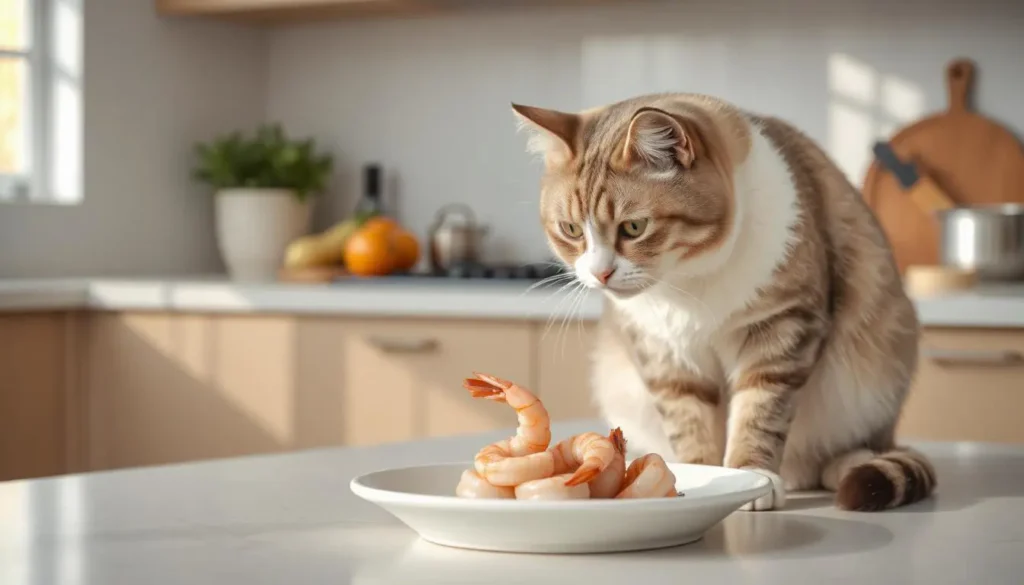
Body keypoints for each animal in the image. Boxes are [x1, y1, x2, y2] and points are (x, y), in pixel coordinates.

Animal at [512, 93, 937, 510]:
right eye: (571, 230)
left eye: (634, 227)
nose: (600, 273)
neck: (687, 283)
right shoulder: (664, 352)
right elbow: (689, 422)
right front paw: (702, 474)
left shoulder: (783, 327)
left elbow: (760, 410)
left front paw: (752, 475)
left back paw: (842, 466)